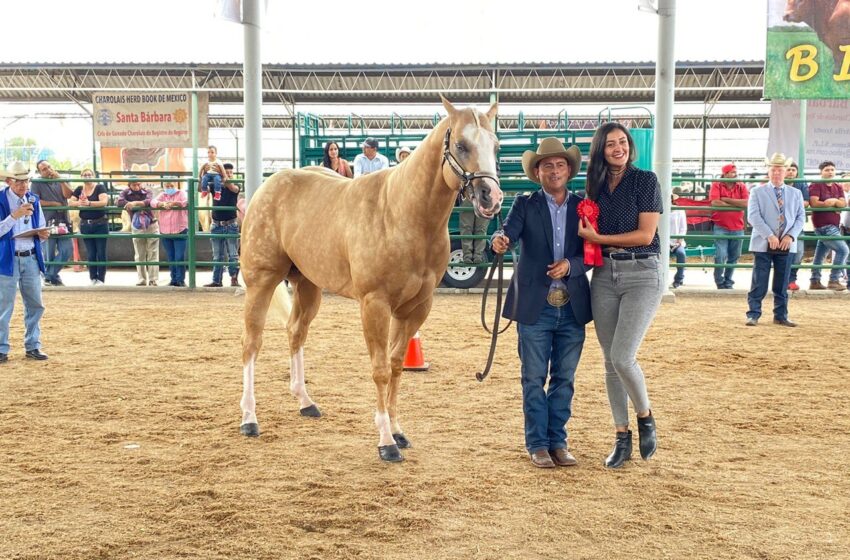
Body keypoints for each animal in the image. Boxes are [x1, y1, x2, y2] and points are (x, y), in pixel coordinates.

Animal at [238, 98, 500, 462]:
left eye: (496, 145)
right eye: (461, 145)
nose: (492, 196)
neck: (403, 214)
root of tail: (268, 185)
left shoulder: (416, 307)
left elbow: (396, 366)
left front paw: (398, 430)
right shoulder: (374, 305)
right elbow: (379, 370)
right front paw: (386, 442)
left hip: (308, 285)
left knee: (296, 332)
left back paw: (305, 402)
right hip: (261, 281)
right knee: (252, 343)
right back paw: (249, 419)